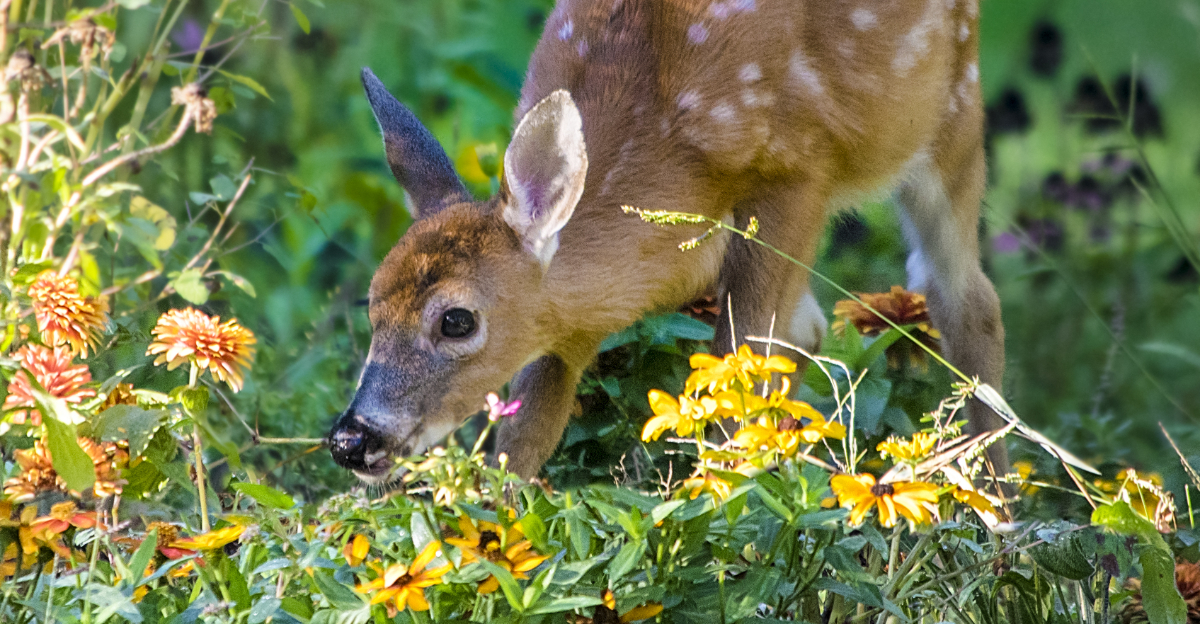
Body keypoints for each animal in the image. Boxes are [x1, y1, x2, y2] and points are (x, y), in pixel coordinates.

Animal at [328, 0, 1008, 485]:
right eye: (372, 304)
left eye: (457, 320)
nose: (351, 439)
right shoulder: (567, 321)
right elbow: (525, 438)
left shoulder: (798, 172)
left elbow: (740, 365)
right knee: (819, 330)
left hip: (951, 106)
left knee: (967, 298)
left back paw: (997, 516)